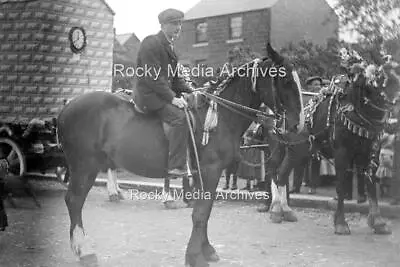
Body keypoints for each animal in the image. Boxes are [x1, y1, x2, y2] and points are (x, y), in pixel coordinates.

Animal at [54, 43, 302, 266]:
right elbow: (200, 213)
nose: (297, 125)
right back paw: (84, 250)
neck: (220, 116)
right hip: (84, 167)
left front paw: (206, 250)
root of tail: (67, 108)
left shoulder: (206, 174)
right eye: (286, 81)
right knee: (74, 201)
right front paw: (194, 256)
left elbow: (205, 211)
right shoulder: (210, 171)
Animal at [266, 52, 400, 237]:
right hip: (280, 146)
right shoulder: (342, 153)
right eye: (382, 78)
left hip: (298, 151)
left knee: (282, 173)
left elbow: (371, 184)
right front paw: (341, 223)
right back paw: (276, 210)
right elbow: (341, 186)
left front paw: (378, 222)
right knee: (275, 171)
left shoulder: (370, 152)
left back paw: (285, 210)